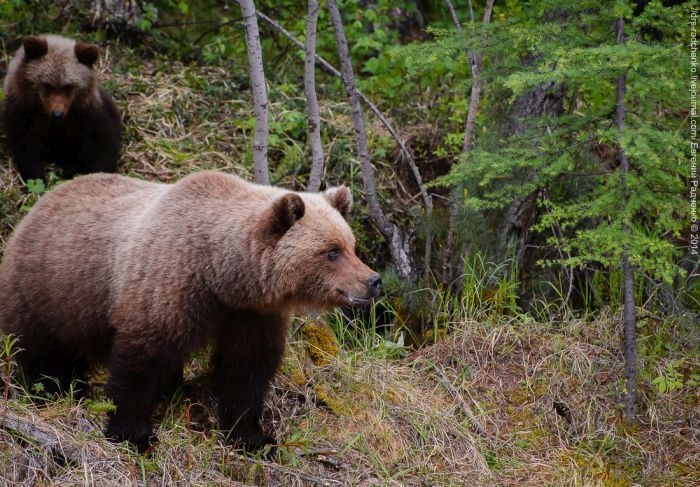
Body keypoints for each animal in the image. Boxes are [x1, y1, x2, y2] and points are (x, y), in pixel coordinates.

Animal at [0, 171, 380, 454]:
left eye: (350, 245)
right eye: (331, 251)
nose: (372, 281)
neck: (219, 273)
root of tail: (41, 202)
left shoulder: (250, 315)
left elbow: (246, 370)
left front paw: (253, 437)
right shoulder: (168, 286)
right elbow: (140, 360)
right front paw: (135, 434)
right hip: (48, 290)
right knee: (39, 352)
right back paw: (46, 391)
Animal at [1, 34, 121, 181]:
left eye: (68, 86)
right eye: (47, 85)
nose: (57, 114)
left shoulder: (86, 115)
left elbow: (101, 146)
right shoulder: (25, 114)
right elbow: (27, 148)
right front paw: (38, 177)